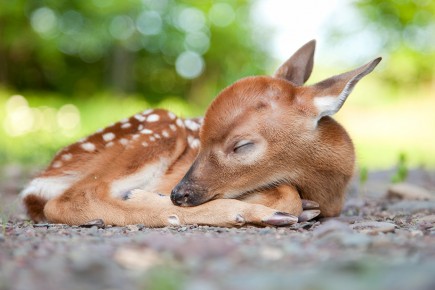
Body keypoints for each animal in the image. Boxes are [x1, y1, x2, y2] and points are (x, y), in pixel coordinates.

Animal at [21, 40, 382, 227]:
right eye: (202, 139)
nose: (178, 193)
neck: (328, 190)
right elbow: (287, 194)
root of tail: (46, 174)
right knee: (70, 199)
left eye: (242, 146)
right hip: (159, 126)